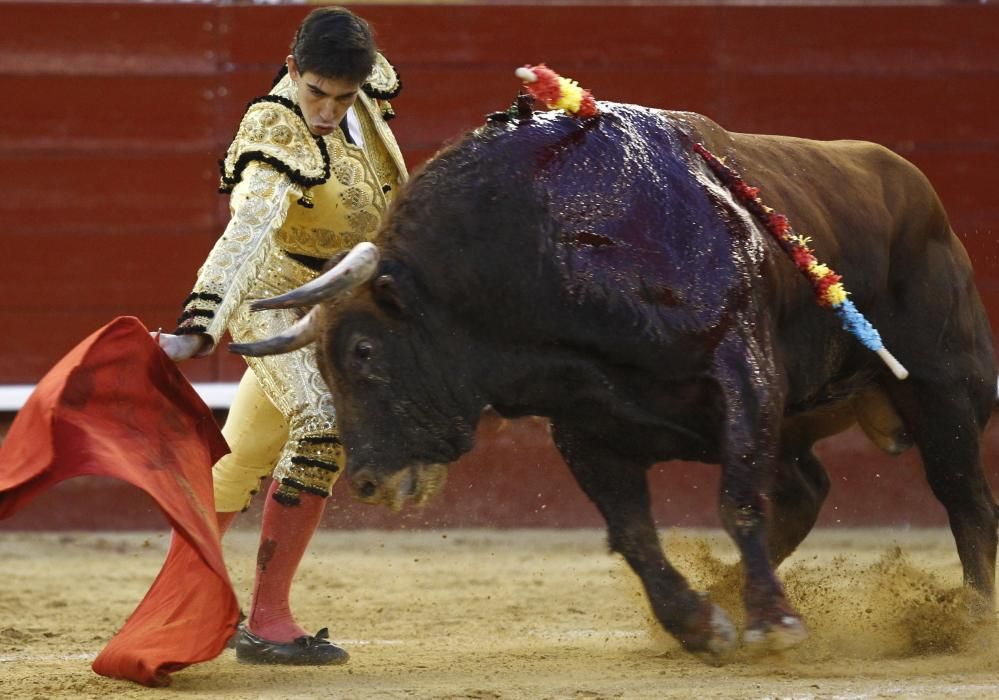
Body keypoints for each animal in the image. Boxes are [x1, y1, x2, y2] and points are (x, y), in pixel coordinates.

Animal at [230, 95, 996, 660]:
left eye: (364, 352)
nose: (364, 481)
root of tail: (916, 189)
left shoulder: (745, 374)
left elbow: (737, 502)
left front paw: (772, 625)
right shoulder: (585, 427)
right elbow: (633, 534)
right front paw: (698, 623)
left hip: (941, 388)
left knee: (962, 496)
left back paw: (972, 619)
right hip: (804, 423)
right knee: (808, 489)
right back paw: (730, 588)